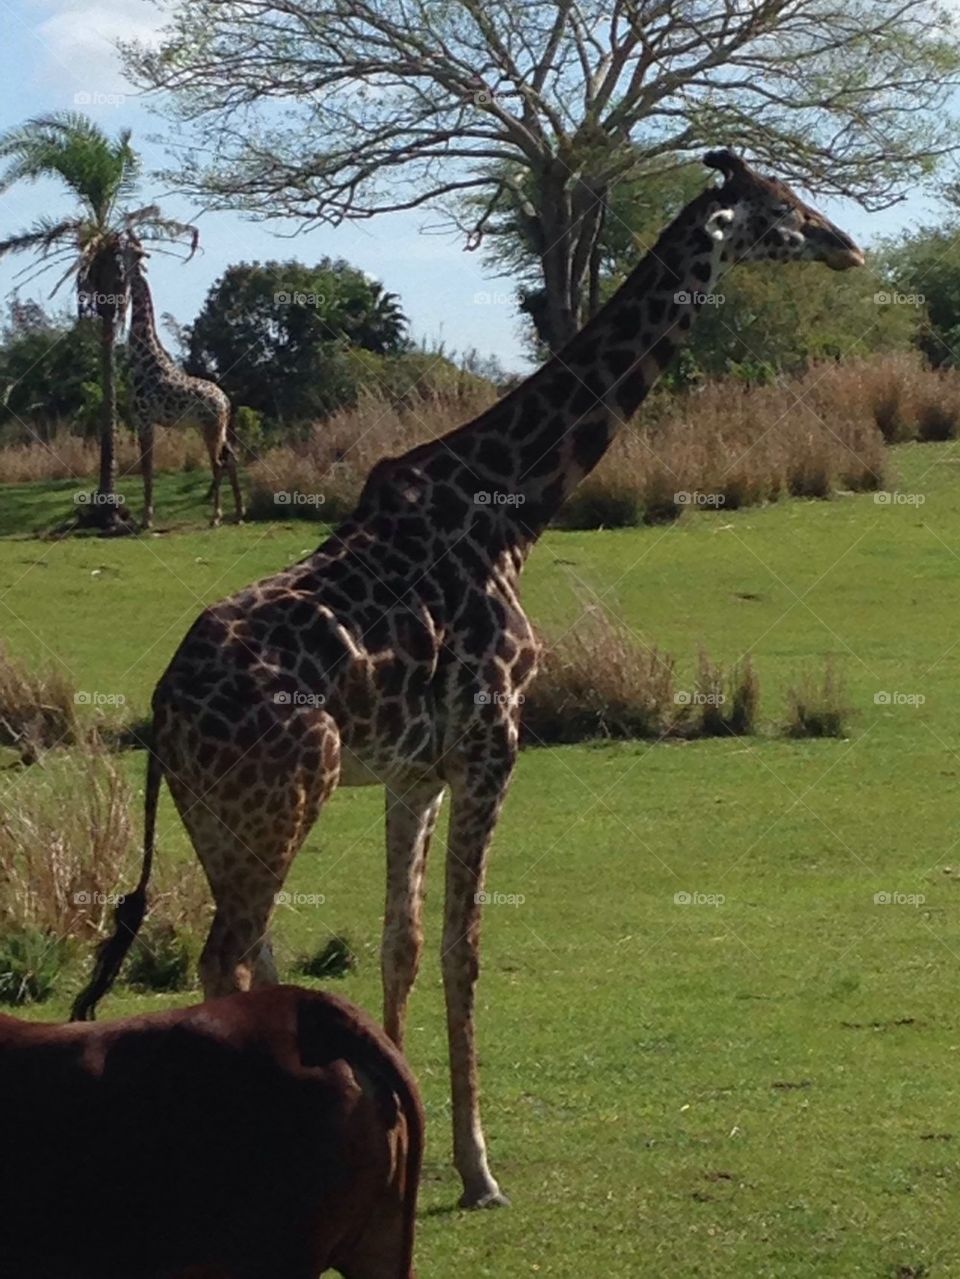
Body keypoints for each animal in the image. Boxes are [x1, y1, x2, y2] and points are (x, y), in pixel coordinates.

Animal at [123, 235, 245, 529]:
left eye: (128, 250)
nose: (116, 246)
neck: (143, 355)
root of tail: (226, 402)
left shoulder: (143, 418)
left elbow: (146, 467)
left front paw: (146, 519)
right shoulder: (146, 421)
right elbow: (148, 467)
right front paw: (146, 517)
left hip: (209, 426)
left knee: (218, 463)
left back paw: (216, 516)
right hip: (218, 427)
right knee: (231, 458)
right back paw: (239, 513)